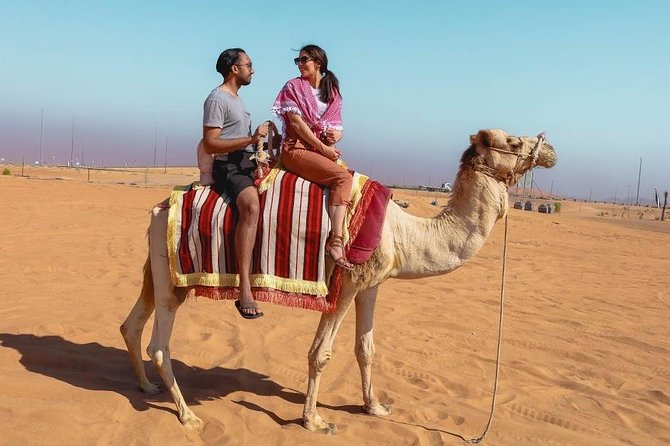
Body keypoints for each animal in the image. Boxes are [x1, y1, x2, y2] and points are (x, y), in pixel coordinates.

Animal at [120, 128, 557, 432]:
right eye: (512, 141)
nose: (550, 149)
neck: (401, 231)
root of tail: (160, 209)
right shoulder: (345, 284)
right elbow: (321, 353)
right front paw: (314, 420)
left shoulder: (372, 284)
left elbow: (366, 348)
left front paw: (375, 407)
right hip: (171, 278)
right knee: (159, 345)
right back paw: (188, 417)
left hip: (158, 270)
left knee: (131, 324)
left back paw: (147, 388)